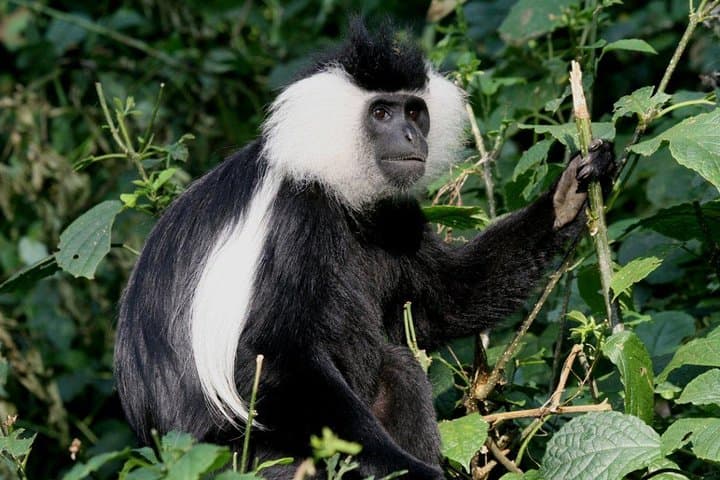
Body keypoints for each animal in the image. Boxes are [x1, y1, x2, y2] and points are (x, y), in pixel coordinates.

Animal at [114, 21, 615, 480]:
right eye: (380, 113)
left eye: (414, 111)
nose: (412, 137)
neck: (338, 191)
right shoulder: (293, 217)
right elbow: (270, 359)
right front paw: (406, 468)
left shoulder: (395, 215)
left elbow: (445, 301)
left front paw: (567, 196)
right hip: (247, 457)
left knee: (399, 369)